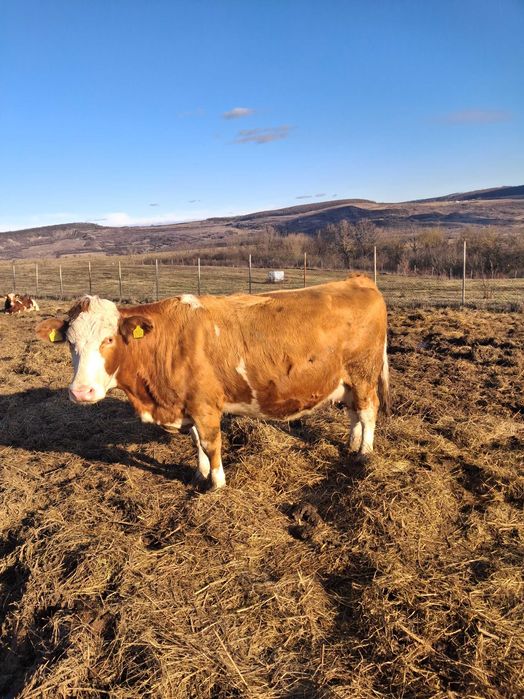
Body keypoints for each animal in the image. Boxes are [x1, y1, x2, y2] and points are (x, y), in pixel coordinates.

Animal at [36, 276, 389, 490]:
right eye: (70, 342)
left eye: (108, 339)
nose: (81, 392)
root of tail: (358, 280)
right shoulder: (188, 404)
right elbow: (195, 443)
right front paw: (200, 473)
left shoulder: (205, 405)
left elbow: (209, 443)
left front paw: (216, 483)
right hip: (347, 381)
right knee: (354, 413)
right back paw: (352, 444)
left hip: (363, 374)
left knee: (369, 410)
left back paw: (365, 453)